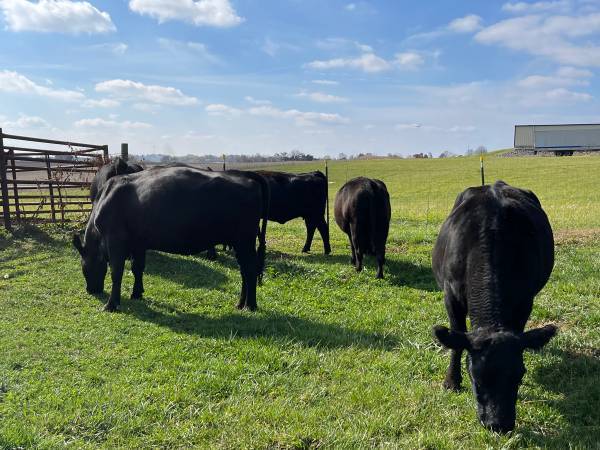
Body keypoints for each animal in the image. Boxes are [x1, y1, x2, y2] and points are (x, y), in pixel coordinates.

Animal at [75, 167, 270, 312]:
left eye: (84, 267)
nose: (90, 290)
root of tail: (245, 175)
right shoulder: (138, 243)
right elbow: (138, 268)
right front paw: (137, 294)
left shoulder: (116, 241)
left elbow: (117, 272)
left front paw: (111, 304)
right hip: (240, 242)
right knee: (244, 271)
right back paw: (241, 303)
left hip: (244, 240)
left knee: (250, 270)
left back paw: (250, 305)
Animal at [434, 179, 556, 432]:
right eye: (477, 378)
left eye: (519, 374)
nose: (499, 424)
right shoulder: (450, 296)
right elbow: (456, 338)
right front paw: (451, 381)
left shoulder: (524, 300)